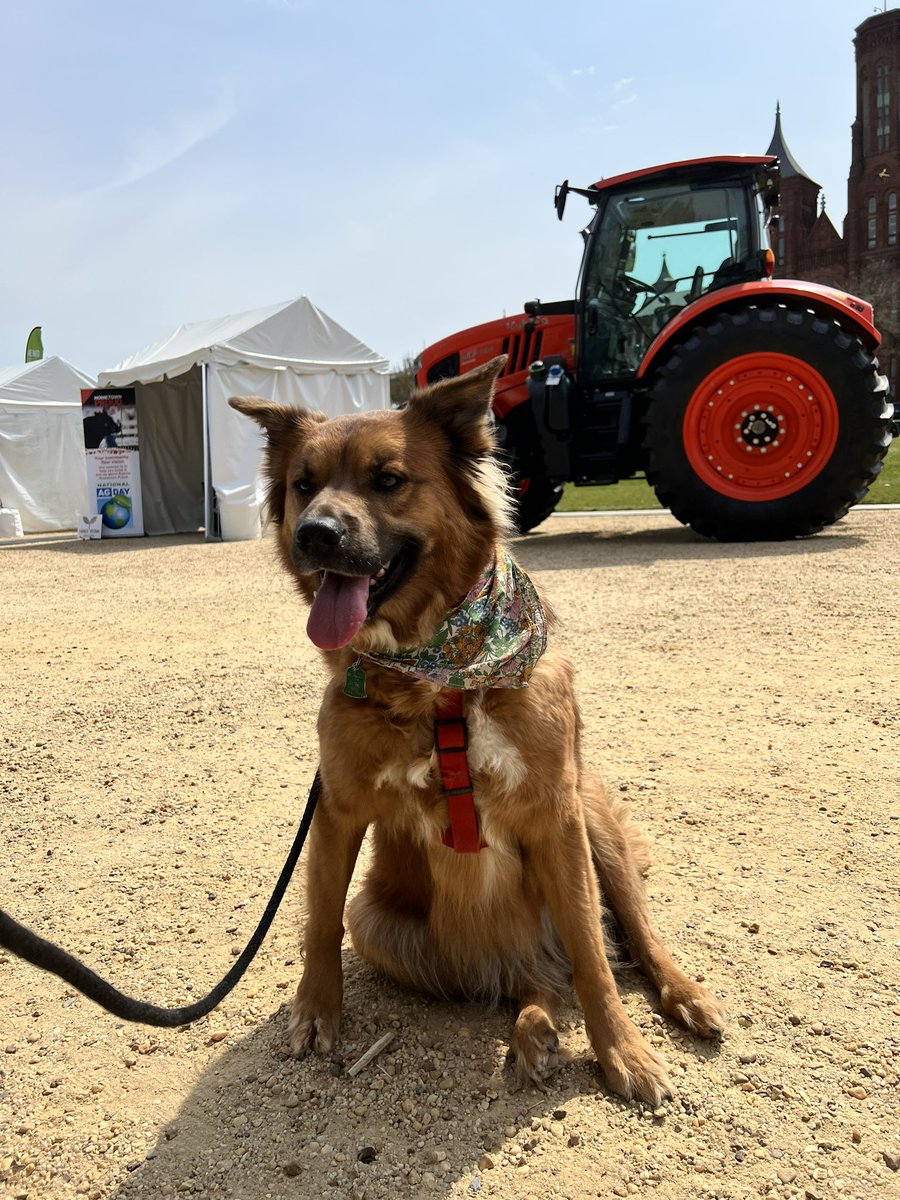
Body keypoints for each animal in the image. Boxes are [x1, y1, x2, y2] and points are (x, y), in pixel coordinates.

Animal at [230, 357, 724, 1104]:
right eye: (302, 484)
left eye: (388, 479)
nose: (312, 534)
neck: (439, 682)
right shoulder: (338, 812)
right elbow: (318, 921)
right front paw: (316, 1011)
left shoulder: (557, 816)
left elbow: (594, 956)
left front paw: (623, 1051)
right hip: (379, 925)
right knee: (535, 980)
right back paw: (533, 1028)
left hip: (594, 825)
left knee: (626, 938)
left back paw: (680, 995)